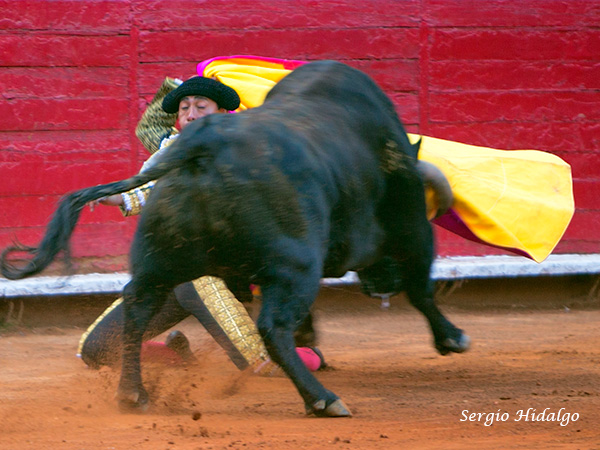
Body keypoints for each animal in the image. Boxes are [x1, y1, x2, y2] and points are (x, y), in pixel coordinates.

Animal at [1, 61, 468, 416]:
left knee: (136, 310)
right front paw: (452, 338)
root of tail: (204, 145)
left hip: (159, 261)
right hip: (296, 263)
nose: (377, 287)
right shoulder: (411, 226)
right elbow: (421, 286)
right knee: (272, 328)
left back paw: (134, 392)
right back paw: (322, 399)